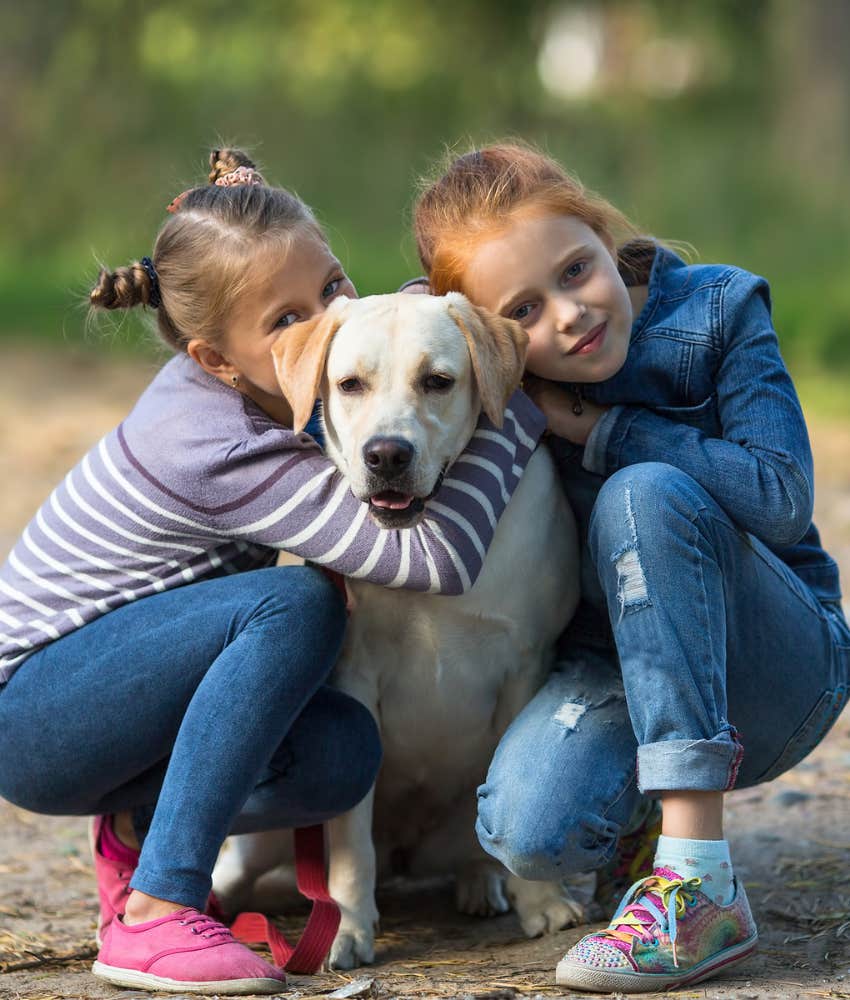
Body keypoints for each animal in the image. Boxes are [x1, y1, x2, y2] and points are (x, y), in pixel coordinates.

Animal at [212, 292, 584, 968]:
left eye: (437, 381)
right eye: (349, 384)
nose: (387, 455)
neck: (424, 535)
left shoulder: (525, 663)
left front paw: (541, 901)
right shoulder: (357, 677)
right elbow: (351, 842)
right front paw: (348, 928)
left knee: (474, 844)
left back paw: (480, 885)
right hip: (266, 833)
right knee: (236, 865)